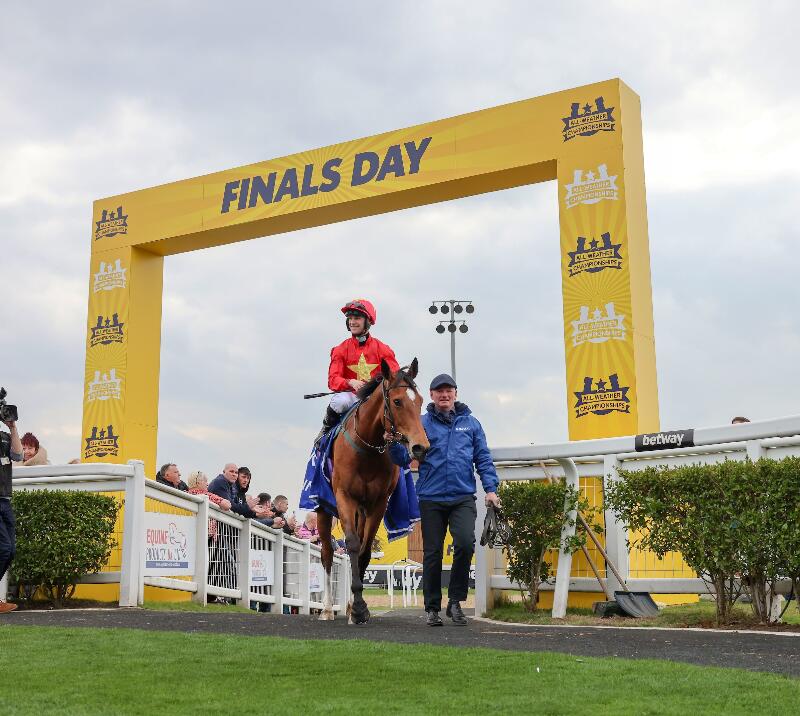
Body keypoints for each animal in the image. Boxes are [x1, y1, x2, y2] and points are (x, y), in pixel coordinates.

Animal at [318, 356, 432, 620]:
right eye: (397, 401)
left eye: (420, 401)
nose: (420, 447)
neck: (367, 450)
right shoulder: (344, 497)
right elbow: (350, 544)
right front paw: (358, 606)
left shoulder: (377, 502)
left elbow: (364, 551)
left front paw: (358, 606)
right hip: (323, 508)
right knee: (327, 553)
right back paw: (327, 609)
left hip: (361, 510)